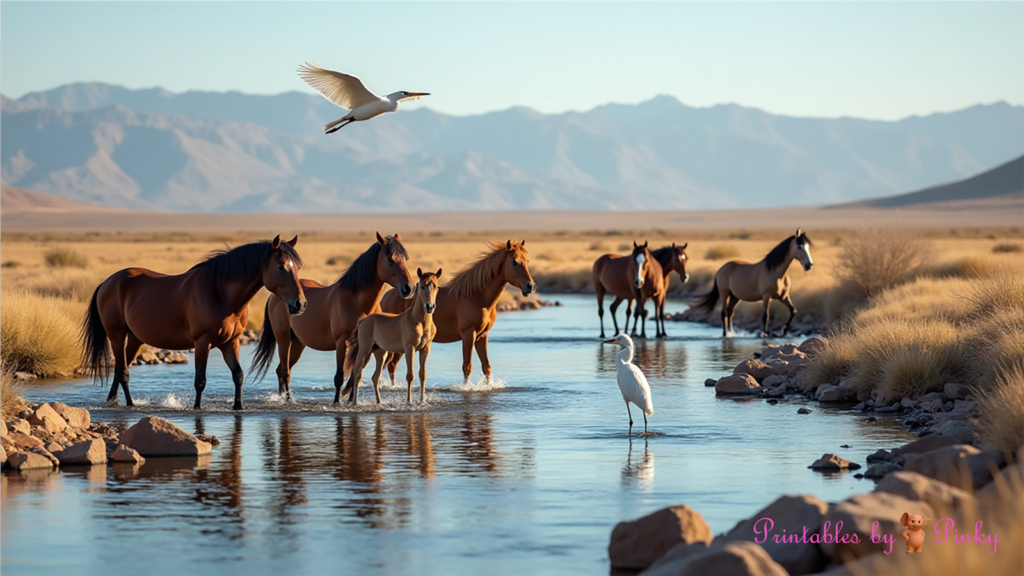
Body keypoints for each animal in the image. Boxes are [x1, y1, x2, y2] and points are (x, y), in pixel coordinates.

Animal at [81, 236, 306, 410]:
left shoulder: (230, 342)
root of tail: (107, 283)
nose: (300, 304)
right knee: (123, 372)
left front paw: (238, 406)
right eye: (281, 266)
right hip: (117, 336)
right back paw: (130, 404)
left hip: (135, 339)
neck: (220, 293)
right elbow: (200, 381)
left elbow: (238, 375)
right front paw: (197, 408)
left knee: (119, 371)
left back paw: (113, 402)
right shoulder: (202, 342)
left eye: (298, 267)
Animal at [250, 233, 415, 403]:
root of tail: (274, 296)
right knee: (285, 372)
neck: (357, 302)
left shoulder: (363, 345)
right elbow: (340, 377)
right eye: (390, 259)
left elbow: (355, 375)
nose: (408, 288)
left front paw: (351, 400)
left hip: (297, 344)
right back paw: (288, 400)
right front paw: (337, 402)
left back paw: (283, 397)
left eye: (405, 259)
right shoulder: (342, 342)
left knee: (281, 370)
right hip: (284, 339)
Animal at [341, 268, 441, 405]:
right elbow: (410, 375)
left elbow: (422, 374)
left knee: (375, 377)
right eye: (422, 286)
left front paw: (422, 400)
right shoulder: (409, 348)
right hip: (364, 350)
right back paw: (355, 402)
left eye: (436, 286)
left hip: (380, 353)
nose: (429, 307)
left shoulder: (425, 349)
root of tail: (364, 320)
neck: (419, 321)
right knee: (357, 373)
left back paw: (379, 402)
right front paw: (409, 401)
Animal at [378, 239, 535, 384]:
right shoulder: (468, 334)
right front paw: (466, 388)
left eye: (527, 261)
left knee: (390, 366)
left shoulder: (482, 336)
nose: (530, 286)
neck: (478, 296)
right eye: (514, 262)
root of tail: (386, 297)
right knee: (390, 365)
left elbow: (486, 366)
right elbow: (467, 366)